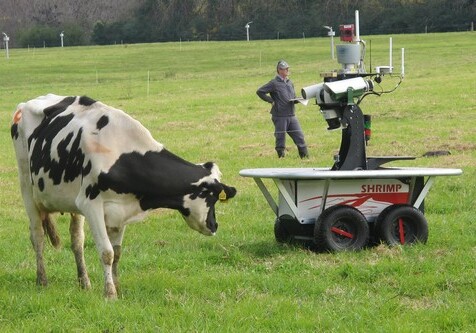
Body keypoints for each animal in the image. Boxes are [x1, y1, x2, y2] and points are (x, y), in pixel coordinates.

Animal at [9, 93, 236, 298]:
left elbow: (117, 253)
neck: (120, 151)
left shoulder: (122, 209)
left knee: (77, 240)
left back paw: (84, 282)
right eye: (212, 197)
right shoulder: (91, 205)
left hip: (70, 202)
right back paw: (42, 280)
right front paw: (110, 294)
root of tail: (27, 102)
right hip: (27, 188)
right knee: (37, 236)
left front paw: (117, 288)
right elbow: (106, 252)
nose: (214, 225)